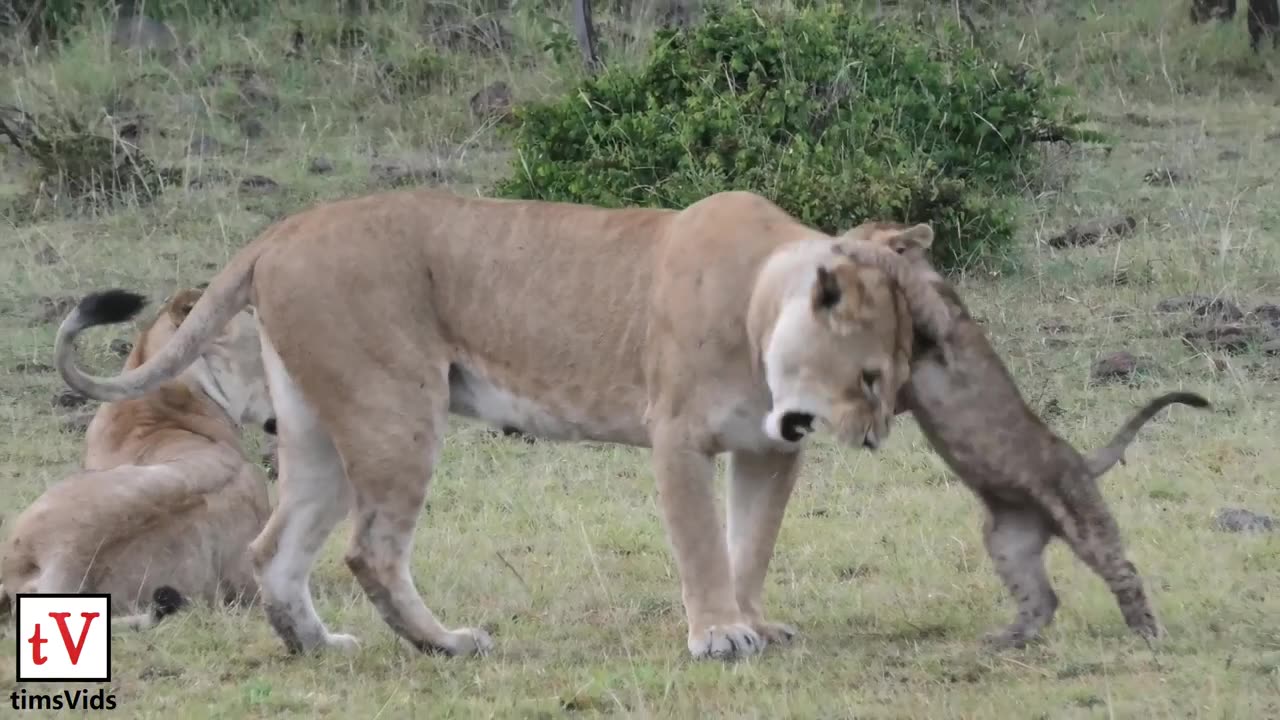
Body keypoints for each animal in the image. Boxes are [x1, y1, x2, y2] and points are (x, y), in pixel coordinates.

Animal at [47, 188, 952, 661]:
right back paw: (446, 644)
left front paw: (753, 621)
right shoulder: (678, 438)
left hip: (311, 430)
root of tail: (284, 227)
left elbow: (750, 542)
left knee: (276, 548)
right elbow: (704, 544)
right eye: (875, 375)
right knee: (371, 549)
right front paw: (720, 635)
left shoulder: (768, 450)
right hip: (395, 408)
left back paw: (320, 646)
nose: (880, 436)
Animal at [839, 220, 1208, 645]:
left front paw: (857, 249)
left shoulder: (938, 317)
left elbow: (902, 271)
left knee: (1122, 570)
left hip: (1081, 517)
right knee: (1043, 598)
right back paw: (1007, 638)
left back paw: (1147, 631)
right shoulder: (903, 387)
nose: (839, 238)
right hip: (1009, 541)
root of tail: (1081, 461)